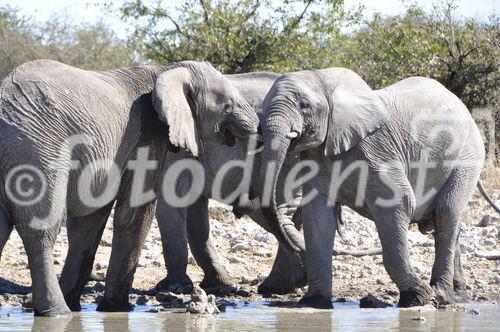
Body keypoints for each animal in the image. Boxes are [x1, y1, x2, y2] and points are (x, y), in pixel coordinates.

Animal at [0, 59, 258, 316]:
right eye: (227, 106)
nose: (258, 127)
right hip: (38, 152)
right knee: (41, 229)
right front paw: (117, 308)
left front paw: (79, 304)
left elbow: (89, 224)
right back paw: (57, 313)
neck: (167, 70)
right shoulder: (147, 134)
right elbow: (135, 211)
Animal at [154, 71, 306, 294]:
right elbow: (195, 216)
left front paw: (172, 287)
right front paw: (218, 284)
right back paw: (283, 284)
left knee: (279, 213)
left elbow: (171, 206)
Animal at [230, 67, 500, 308]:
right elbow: (318, 215)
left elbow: (400, 203)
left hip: (466, 158)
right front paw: (314, 303)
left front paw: (417, 297)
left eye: (304, 105)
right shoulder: (318, 158)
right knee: (447, 223)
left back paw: (441, 295)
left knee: (446, 213)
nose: (241, 207)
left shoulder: (377, 151)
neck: (324, 79)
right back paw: (457, 295)